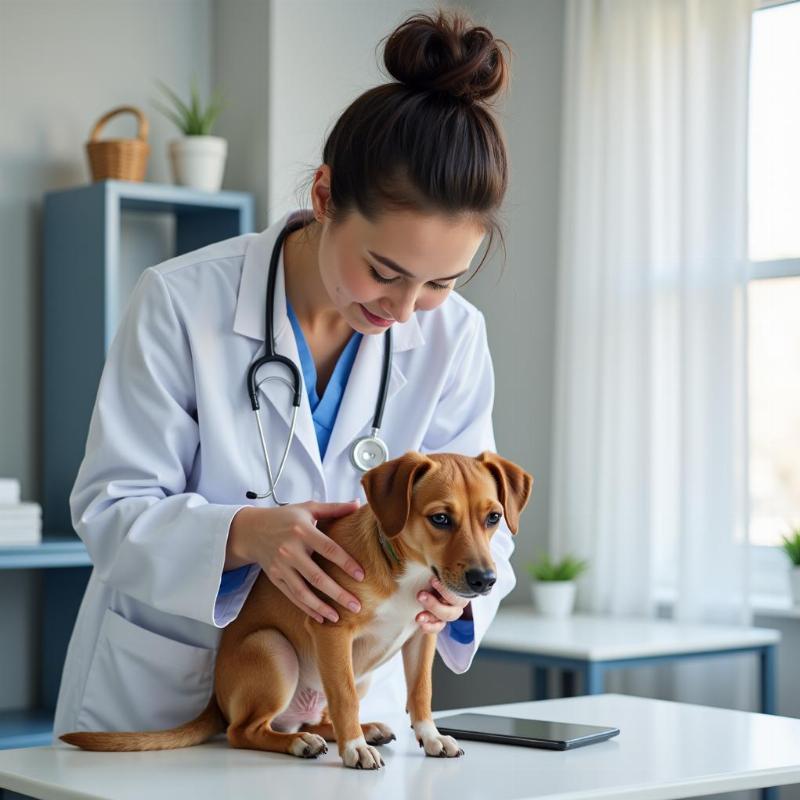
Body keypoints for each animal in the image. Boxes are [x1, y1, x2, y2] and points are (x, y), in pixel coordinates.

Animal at [61, 450, 532, 768]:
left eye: (492, 517)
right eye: (440, 519)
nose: (485, 580)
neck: (406, 573)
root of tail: (215, 700)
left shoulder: (423, 635)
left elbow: (421, 694)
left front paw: (431, 738)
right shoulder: (332, 629)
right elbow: (344, 698)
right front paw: (354, 750)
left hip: (350, 672)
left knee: (314, 717)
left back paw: (356, 731)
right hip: (274, 650)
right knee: (245, 731)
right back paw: (308, 743)